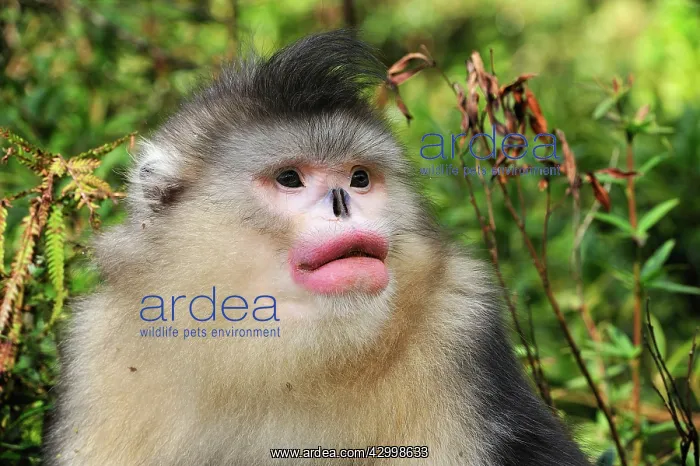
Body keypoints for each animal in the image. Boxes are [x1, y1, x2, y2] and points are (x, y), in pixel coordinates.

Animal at [46, 30, 591, 466]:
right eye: (290, 178)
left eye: (359, 178)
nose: (342, 204)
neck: (278, 367)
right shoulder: (102, 354)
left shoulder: (460, 324)